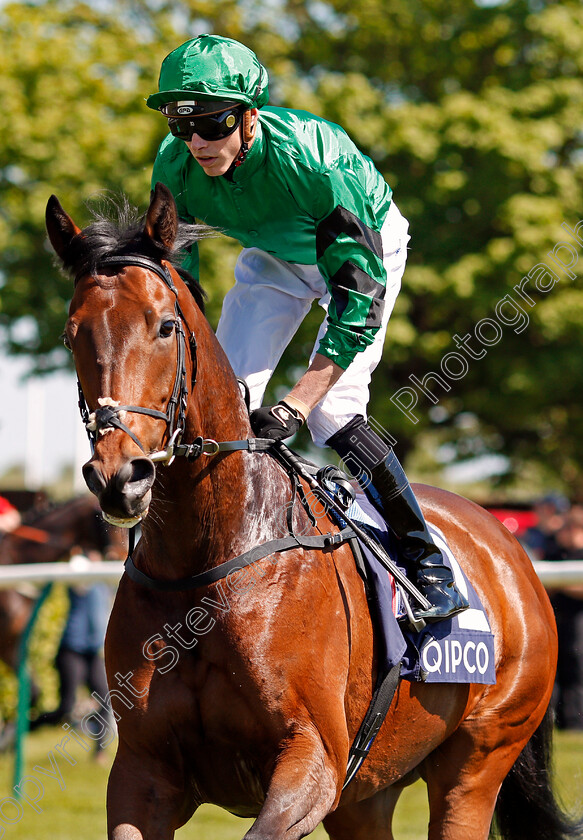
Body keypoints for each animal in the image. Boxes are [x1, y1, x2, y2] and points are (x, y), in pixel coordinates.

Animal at [46, 184, 583, 840]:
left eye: (166, 326)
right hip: (367, 794)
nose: (120, 476)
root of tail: (511, 550)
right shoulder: (142, 773)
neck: (207, 560)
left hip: (478, 760)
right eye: (72, 334)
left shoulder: (313, 761)